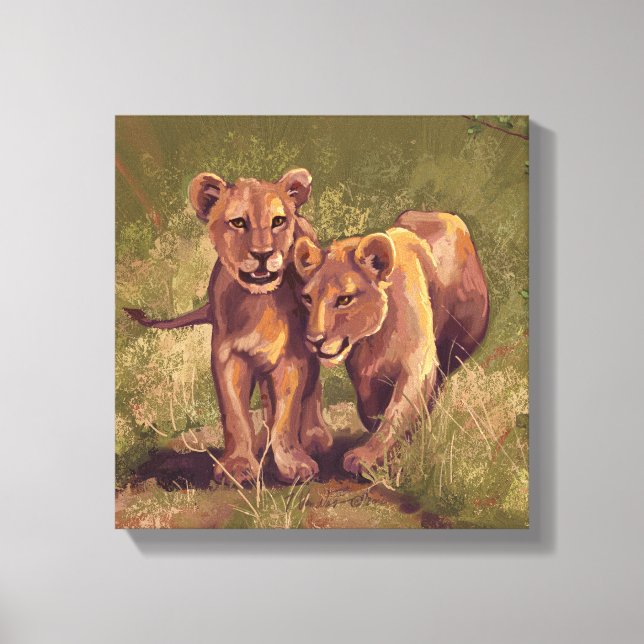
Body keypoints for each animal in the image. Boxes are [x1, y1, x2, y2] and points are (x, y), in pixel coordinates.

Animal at [125, 169, 332, 485]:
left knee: (312, 389)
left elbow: (287, 414)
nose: (263, 254)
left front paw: (293, 463)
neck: (259, 303)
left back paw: (314, 437)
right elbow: (236, 415)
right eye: (238, 222)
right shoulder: (228, 358)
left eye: (278, 221)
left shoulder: (292, 358)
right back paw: (262, 442)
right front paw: (238, 465)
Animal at [293, 210, 489, 477]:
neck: (376, 338)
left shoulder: (418, 364)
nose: (314, 340)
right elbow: (373, 404)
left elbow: (397, 411)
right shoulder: (364, 371)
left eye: (344, 299)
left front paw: (366, 457)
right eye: (308, 298)